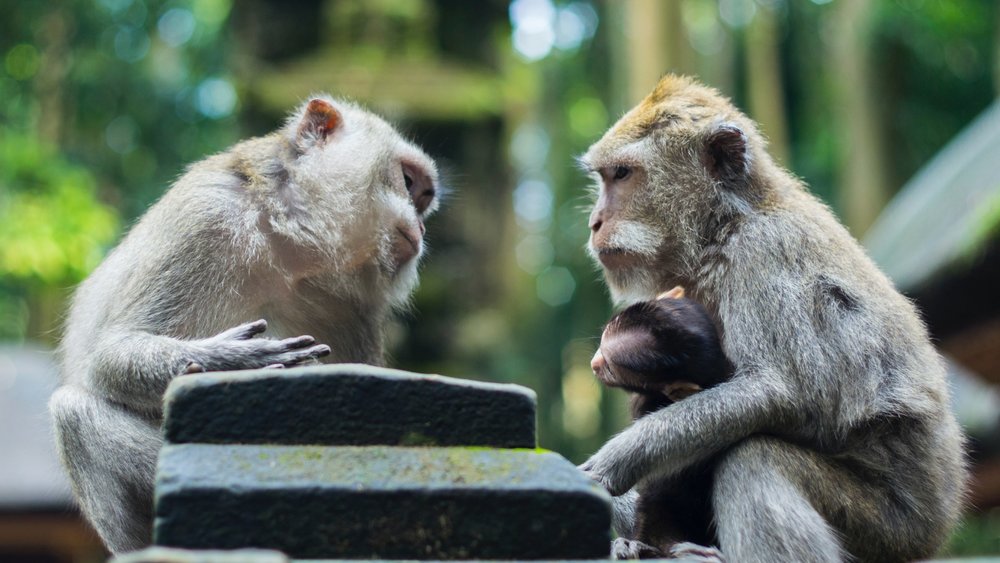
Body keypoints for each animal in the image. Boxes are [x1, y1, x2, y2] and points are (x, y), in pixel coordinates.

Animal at [48, 96, 440, 555]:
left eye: (424, 198)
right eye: (407, 181)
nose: (423, 224)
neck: (289, 244)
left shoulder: (357, 306)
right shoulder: (204, 215)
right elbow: (109, 356)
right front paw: (232, 359)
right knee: (73, 412)